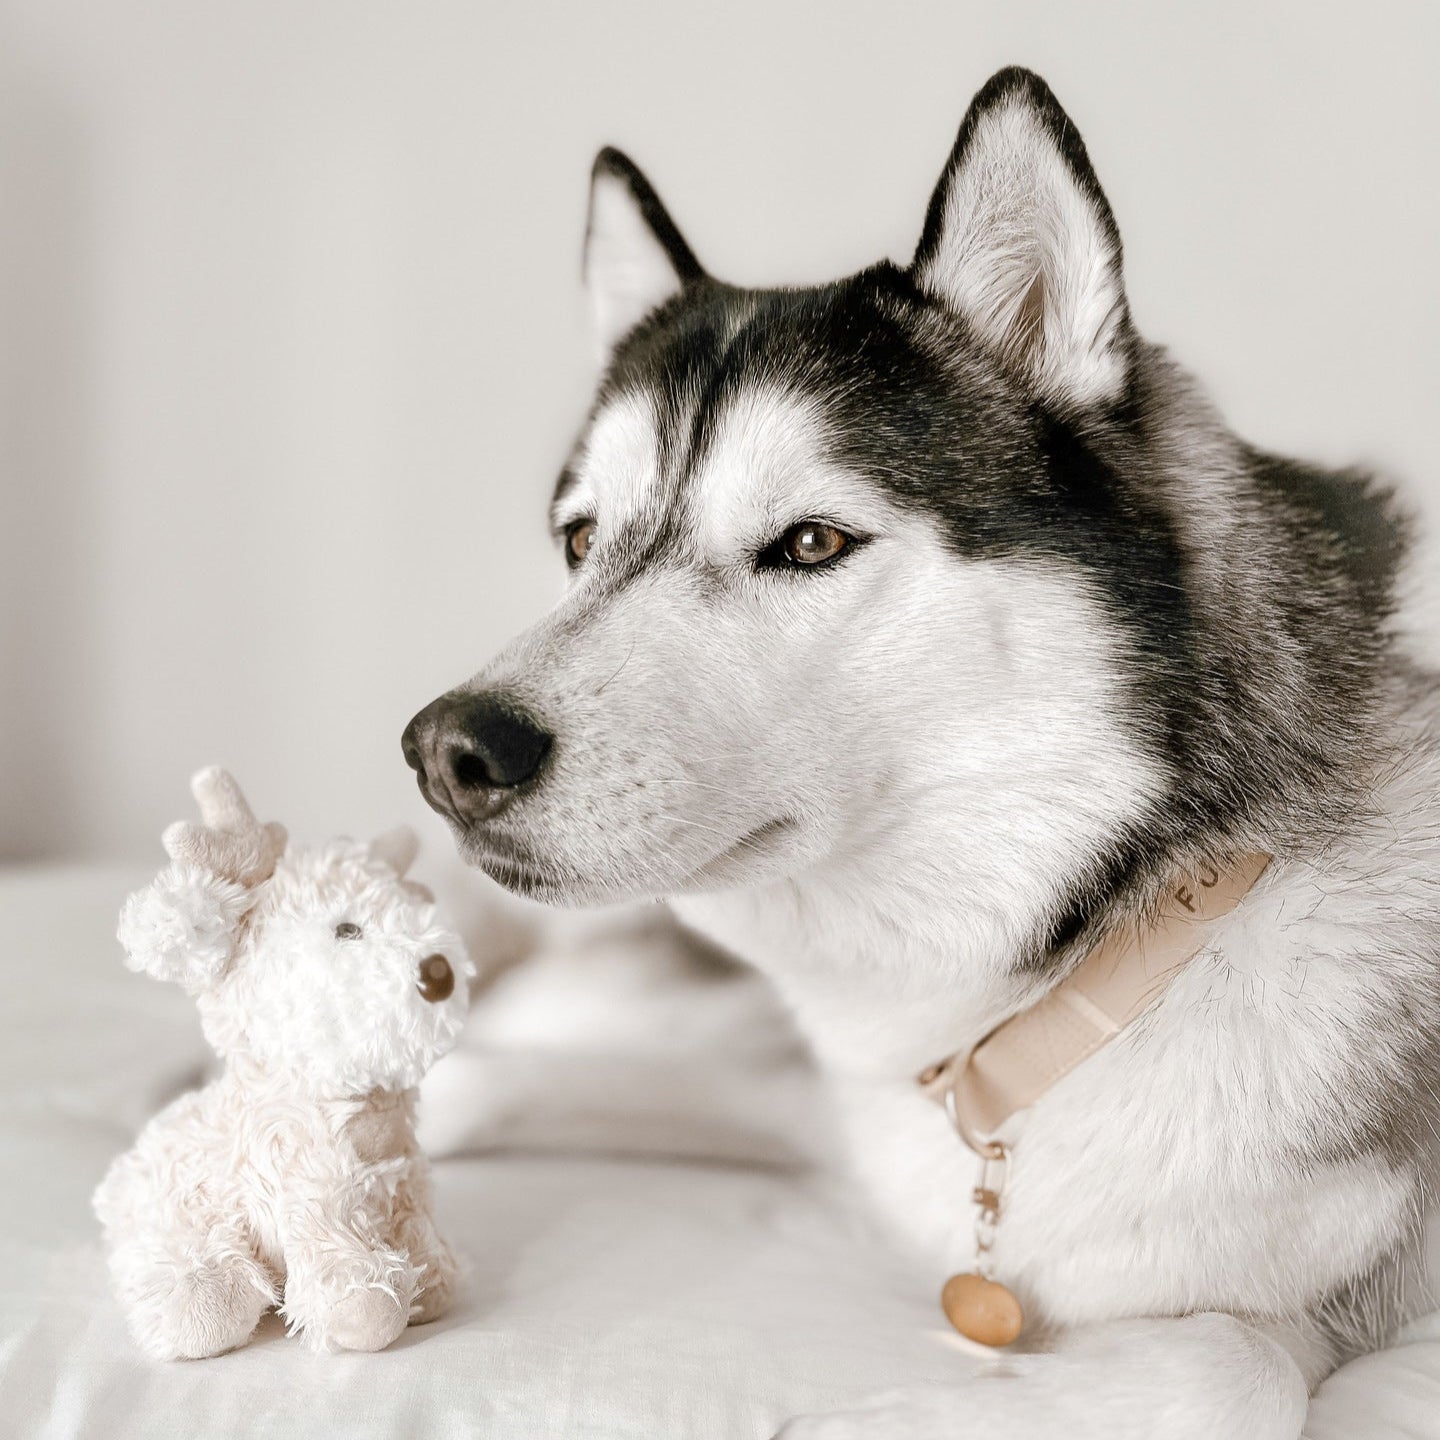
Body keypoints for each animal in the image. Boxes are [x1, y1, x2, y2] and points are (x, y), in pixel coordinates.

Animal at [402, 67, 1440, 1438]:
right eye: (580, 542)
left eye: (811, 543)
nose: (447, 750)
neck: (1086, 974)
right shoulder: (822, 1108)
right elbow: (506, 1085)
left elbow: (1225, 1370)